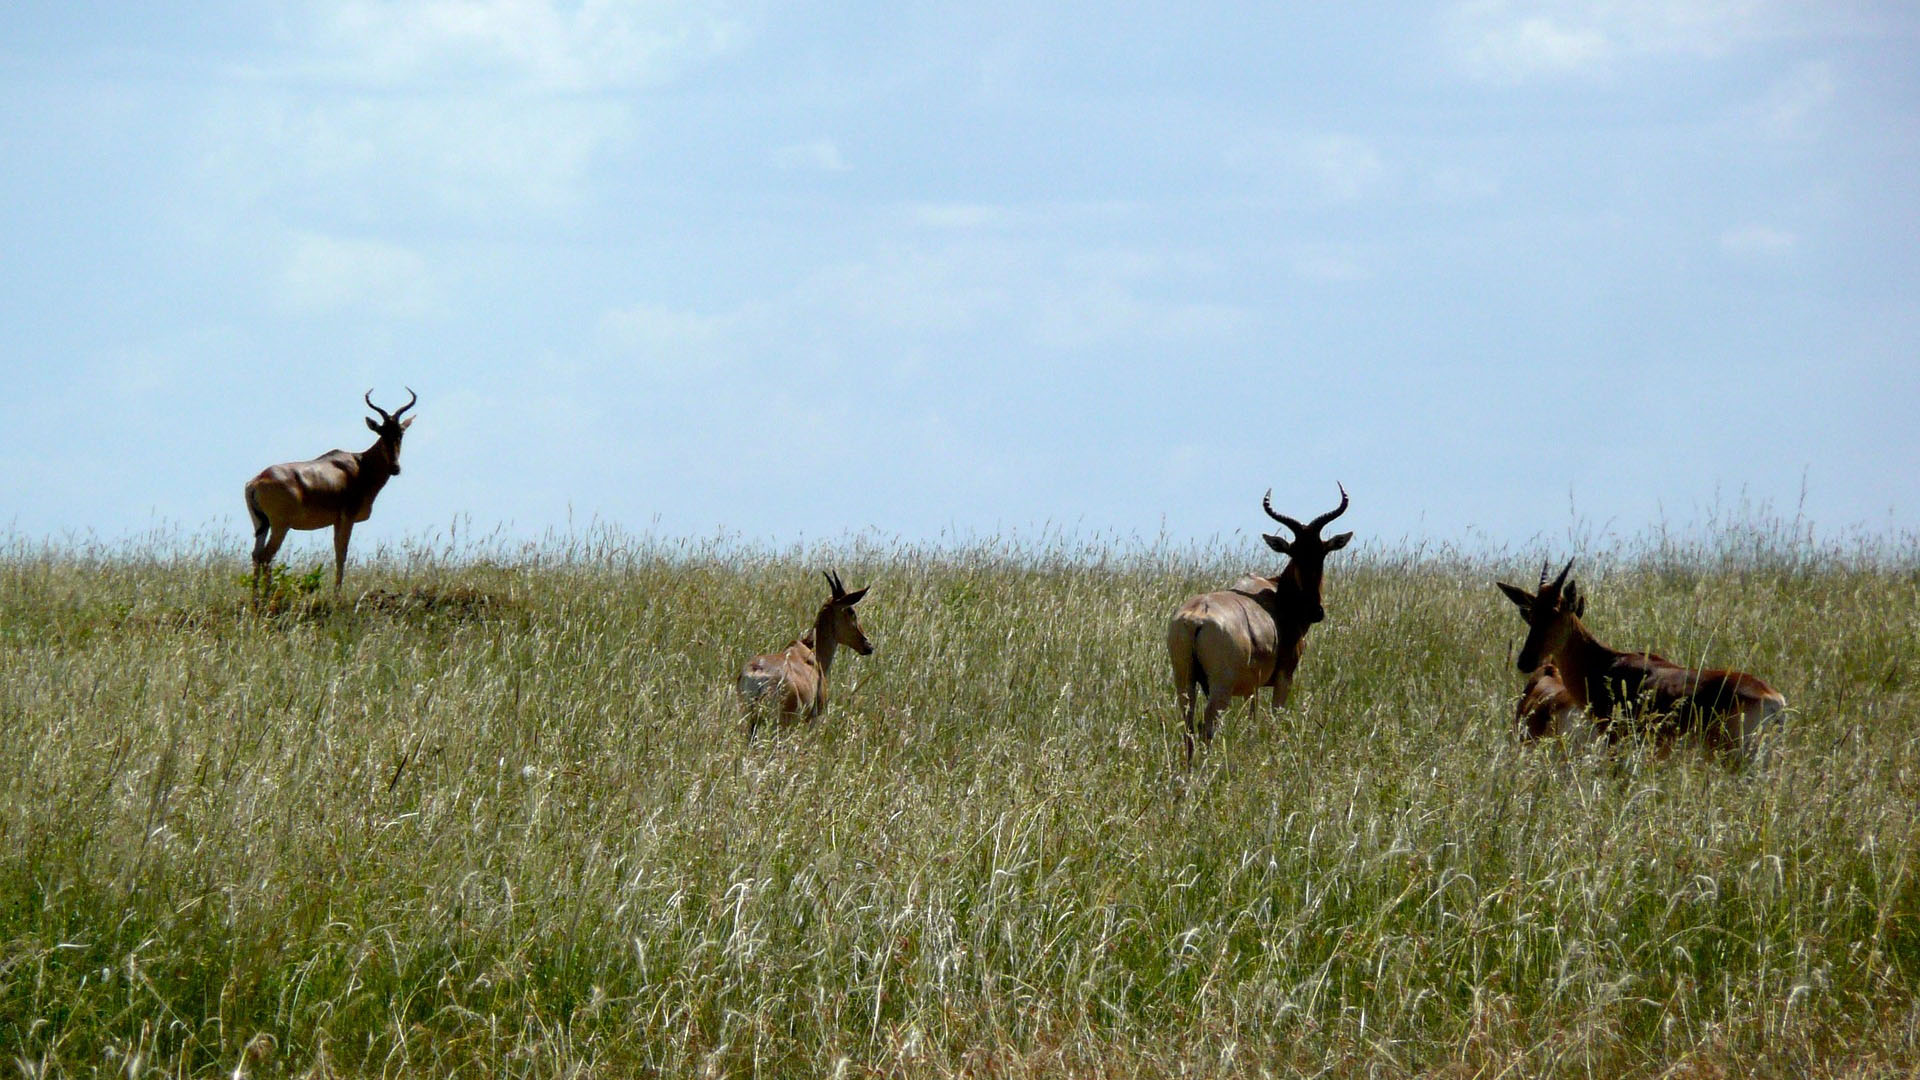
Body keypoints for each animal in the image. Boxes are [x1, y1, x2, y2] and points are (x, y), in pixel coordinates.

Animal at [243, 386, 416, 595]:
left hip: (262, 523)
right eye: (382, 433)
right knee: (266, 556)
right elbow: (342, 553)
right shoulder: (348, 517)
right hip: (280, 525)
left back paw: (255, 599)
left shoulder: (336, 520)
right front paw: (337, 594)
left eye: (400, 433)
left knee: (256, 554)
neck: (359, 465)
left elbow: (337, 552)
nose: (395, 468)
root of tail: (257, 481)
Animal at [1159, 478, 1359, 764]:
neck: (1275, 594)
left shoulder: (1251, 687)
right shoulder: (1285, 677)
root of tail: (1196, 618)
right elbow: (1276, 718)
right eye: (1295, 553)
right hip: (1220, 687)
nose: (1316, 611)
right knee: (1207, 724)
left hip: (1183, 679)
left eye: (1321, 552)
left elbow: (1252, 719)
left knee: (1188, 725)